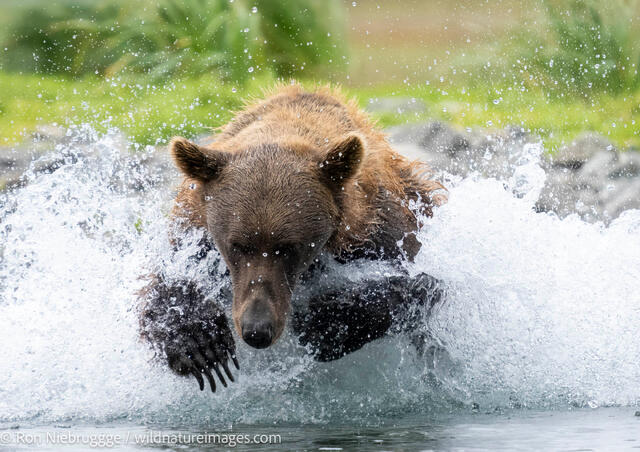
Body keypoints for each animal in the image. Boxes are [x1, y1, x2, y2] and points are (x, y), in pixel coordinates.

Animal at [139, 84, 446, 392]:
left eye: (288, 248)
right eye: (237, 245)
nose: (257, 330)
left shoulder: (381, 231)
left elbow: (426, 284)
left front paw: (326, 322)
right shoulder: (194, 233)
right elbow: (165, 283)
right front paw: (201, 345)